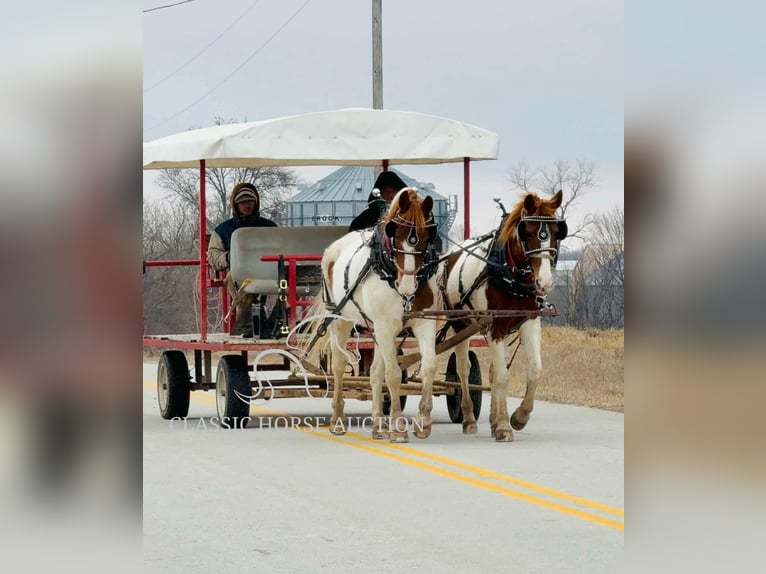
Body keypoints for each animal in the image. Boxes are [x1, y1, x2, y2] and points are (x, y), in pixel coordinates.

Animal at [316, 187, 440, 444]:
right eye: (395, 233)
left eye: (427, 235)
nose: (408, 285)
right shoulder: (384, 325)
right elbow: (393, 375)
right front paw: (399, 427)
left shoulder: (423, 322)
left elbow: (429, 366)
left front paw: (423, 421)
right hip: (340, 322)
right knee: (339, 367)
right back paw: (338, 420)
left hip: (376, 329)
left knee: (374, 373)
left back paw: (378, 425)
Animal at [440, 191, 568, 444]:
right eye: (528, 232)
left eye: (557, 232)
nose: (545, 282)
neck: (511, 274)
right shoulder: (495, 327)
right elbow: (501, 375)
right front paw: (503, 426)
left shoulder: (529, 322)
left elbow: (535, 370)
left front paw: (518, 417)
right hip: (461, 325)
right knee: (463, 369)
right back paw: (469, 418)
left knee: (488, 369)